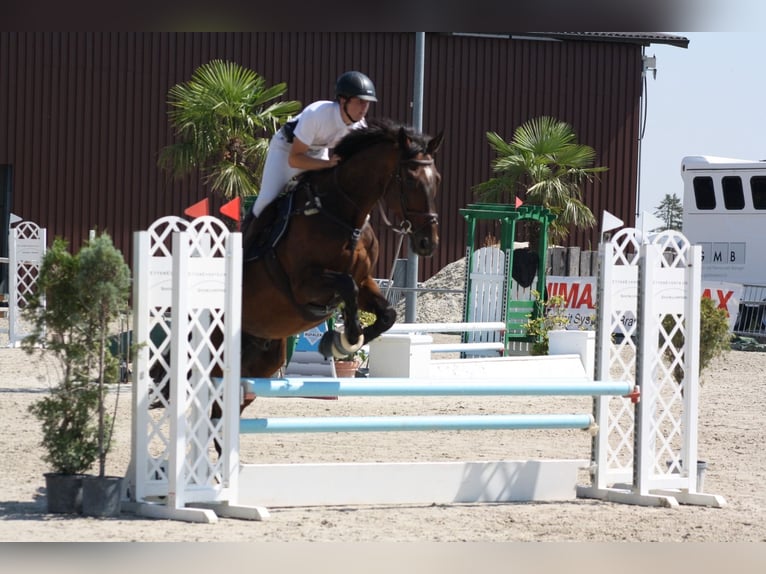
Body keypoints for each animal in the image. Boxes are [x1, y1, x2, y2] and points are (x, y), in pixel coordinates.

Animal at [237, 118, 448, 414]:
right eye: (409, 180)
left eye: (436, 179)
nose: (428, 243)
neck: (343, 216)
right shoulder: (304, 285)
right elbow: (347, 288)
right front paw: (343, 339)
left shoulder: (365, 280)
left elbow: (387, 314)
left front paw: (338, 344)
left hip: (262, 356)